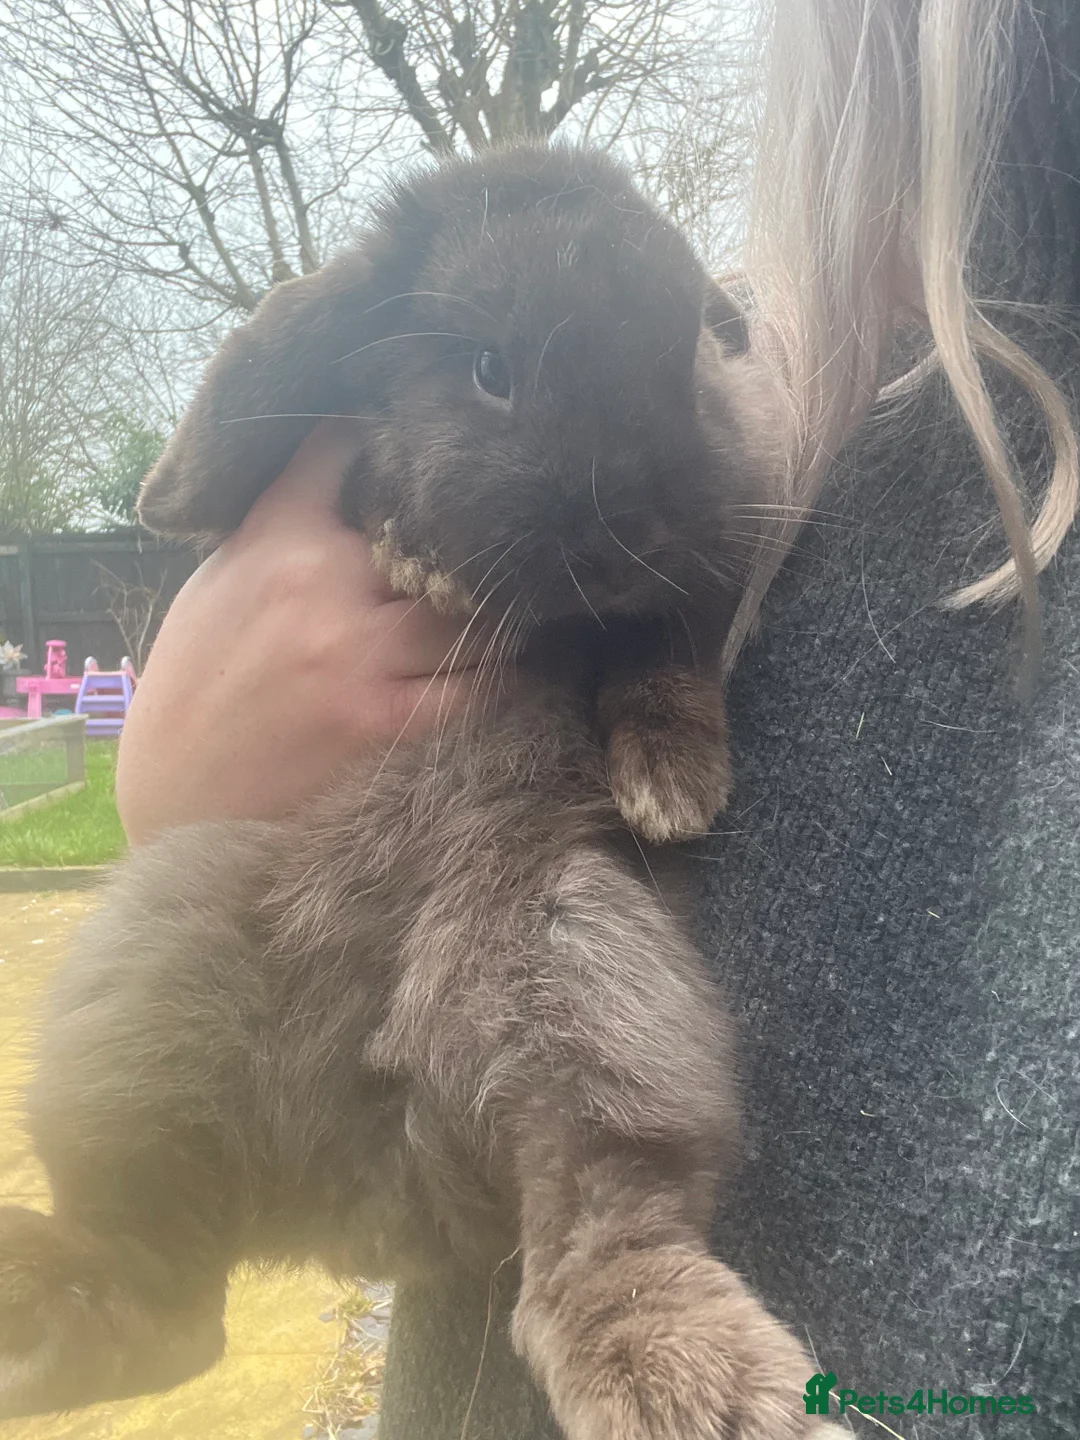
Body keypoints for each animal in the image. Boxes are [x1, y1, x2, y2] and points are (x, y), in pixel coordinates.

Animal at [0, 143, 837, 1439]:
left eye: (693, 350)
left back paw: (711, 1396)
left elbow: (662, 658)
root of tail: (373, 1185)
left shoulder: (689, 584)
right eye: (489, 368)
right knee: (161, 1288)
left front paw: (672, 784)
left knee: (594, 1242)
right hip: (140, 997)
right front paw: (408, 549)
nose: (633, 521)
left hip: (591, 985)